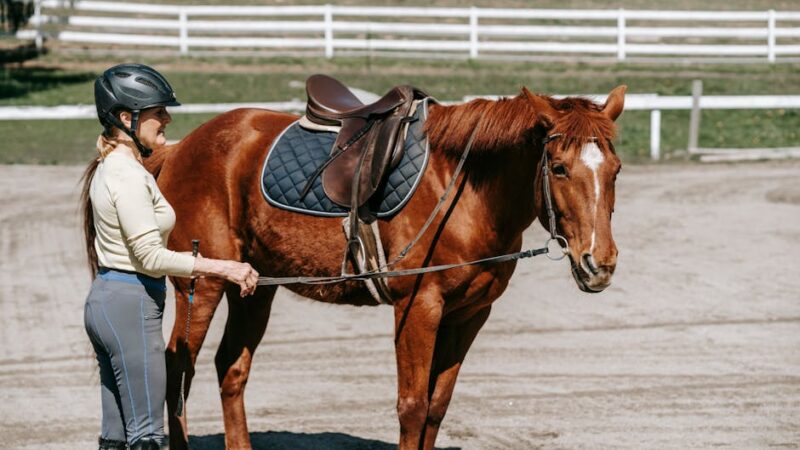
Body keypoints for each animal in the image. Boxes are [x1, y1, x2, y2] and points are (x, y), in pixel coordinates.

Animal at [145, 84, 626, 450]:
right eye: (559, 168)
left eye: (616, 170)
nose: (598, 262)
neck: (464, 192)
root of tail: (182, 146)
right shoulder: (418, 308)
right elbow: (412, 407)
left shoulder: (469, 315)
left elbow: (436, 406)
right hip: (201, 284)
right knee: (177, 367)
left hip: (255, 287)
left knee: (231, 368)